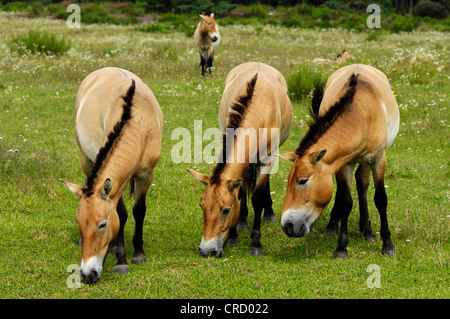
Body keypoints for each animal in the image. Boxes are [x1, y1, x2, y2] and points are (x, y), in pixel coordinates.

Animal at [60, 67, 163, 282]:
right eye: (78, 223)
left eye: (102, 224)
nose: (87, 273)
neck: (138, 123)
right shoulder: (117, 183)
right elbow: (121, 213)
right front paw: (121, 260)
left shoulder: (147, 175)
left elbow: (139, 210)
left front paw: (138, 254)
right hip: (86, 159)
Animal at [186, 62, 292, 258]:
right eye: (201, 206)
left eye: (226, 210)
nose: (206, 250)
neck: (260, 110)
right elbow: (240, 191)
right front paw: (234, 233)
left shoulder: (267, 160)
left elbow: (257, 197)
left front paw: (256, 244)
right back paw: (243, 219)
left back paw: (269, 213)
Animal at [280, 63, 400, 258]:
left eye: (302, 181)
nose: (287, 225)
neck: (362, 114)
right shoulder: (344, 164)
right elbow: (346, 200)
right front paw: (342, 246)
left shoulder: (378, 159)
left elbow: (381, 199)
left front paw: (388, 244)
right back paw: (334, 226)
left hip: (366, 160)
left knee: (362, 182)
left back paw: (367, 231)